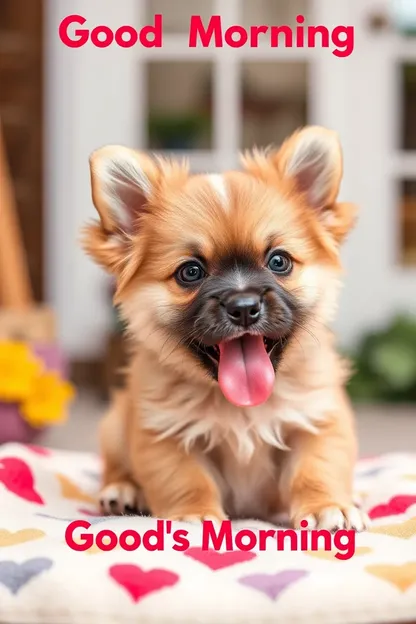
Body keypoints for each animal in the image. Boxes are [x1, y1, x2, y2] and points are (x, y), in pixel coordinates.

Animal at [83, 127, 368, 532]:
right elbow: (185, 480)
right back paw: (122, 491)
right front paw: (194, 515)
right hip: (113, 428)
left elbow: (317, 468)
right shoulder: (163, 434)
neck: (240, 408)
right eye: (190, 272)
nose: (244, 307)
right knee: (115, 466)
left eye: (279, 261)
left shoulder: (318, 420)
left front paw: (327, 506)